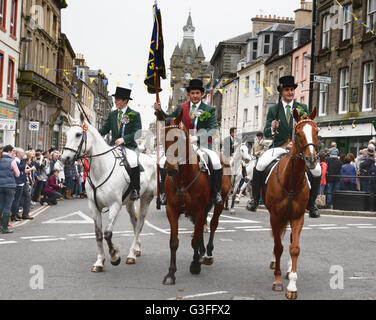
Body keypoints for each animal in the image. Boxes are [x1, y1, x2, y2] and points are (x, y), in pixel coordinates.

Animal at [61, 115, 156, 272]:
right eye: (66, 134)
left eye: (78, 134)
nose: (64, 159)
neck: (101, 170)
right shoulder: (93, 206)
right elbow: (98, 234)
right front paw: (99, 262)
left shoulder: (114, 205)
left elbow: (107, 233)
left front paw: (114, 256)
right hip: (129, 202)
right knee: (134, 221)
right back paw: (136, 249)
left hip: (146, 199)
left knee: (139, 224)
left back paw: (131, 255)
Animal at [159, 110, 231, 284]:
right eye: (162, 138)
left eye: (178, 138)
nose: (171, 169)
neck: (183, 177)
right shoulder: (172, 210)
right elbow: (174, 242)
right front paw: (171, 273)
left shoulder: (198, 210)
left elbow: (195, 240)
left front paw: (195, 265)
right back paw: (202, 252)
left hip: (219, 203)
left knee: (213, 225)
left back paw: (207, 254)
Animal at [262, 108, 318, 300]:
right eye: (299, 133)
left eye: (317, 132)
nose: (312, 160)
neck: (291, 182)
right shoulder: (275, 216)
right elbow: (278, 246)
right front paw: (277, 280)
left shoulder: (298, 217)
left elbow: (294, 248)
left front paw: (292, 284)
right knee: (276, 237)